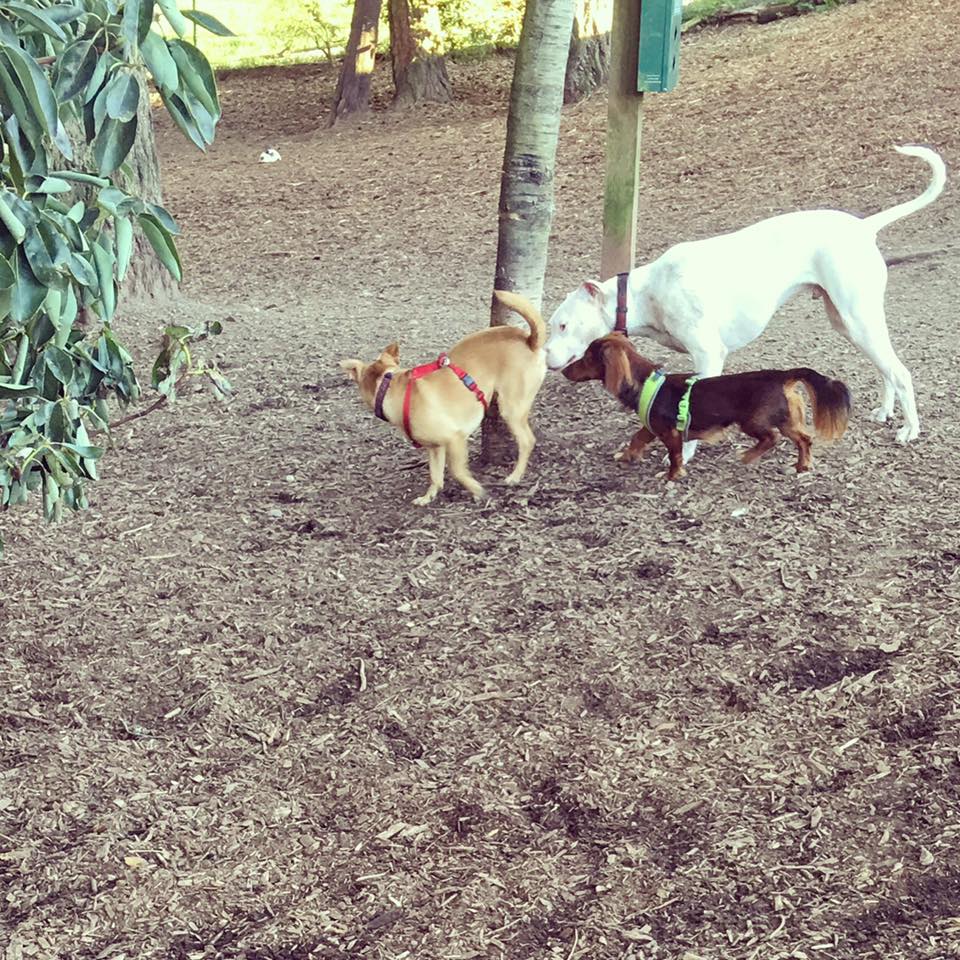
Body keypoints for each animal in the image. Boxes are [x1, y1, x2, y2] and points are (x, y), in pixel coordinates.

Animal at [340, 291, 546, 505]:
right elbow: (435, 476)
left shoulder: (455, 439)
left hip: (511, 408)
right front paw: (427, 497)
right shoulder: (435, 447)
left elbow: (457, 471)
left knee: (527, 441)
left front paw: (477, 491)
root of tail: (530, 340)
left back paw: (515, 476)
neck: (389, 386)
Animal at [545, 145, 945, 458]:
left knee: (900, 371)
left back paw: (910, 429)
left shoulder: (708, 357)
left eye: (563, 325)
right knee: (886, 367)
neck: (647, 292)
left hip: (858, 319)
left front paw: (683, 456)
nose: (544, 357)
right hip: (850, 323)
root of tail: (863, 227)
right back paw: (885, 409)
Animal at [564, 333, 851, 480]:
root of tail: (782, 375)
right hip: (785, 418)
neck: (647, 384)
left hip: (754, 421)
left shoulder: (670, 433)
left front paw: (672, 476)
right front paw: (627, 456)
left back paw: (747, 456)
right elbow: (637, 437)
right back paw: (803, 466)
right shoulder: (652, 426)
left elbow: (675, 456)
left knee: (771, 439)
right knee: (803, 439)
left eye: (587, 357)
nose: (565, 371)